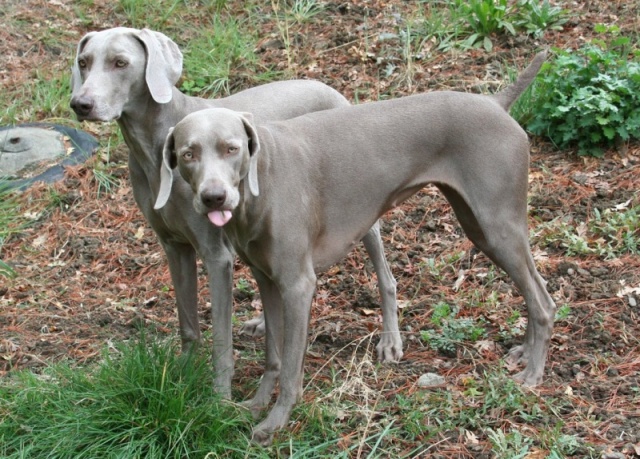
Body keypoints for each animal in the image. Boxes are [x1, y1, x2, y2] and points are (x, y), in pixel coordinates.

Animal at [154, 51, 556, 446]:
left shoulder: (298, 285)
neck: (262, 181)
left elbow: (291, 367)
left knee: (543, 301)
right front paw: (255, 404)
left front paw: (275, 422)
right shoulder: (265, 277)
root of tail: (496, 102)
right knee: (539, 289)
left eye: (231, 148)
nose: (213, 197)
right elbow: (273, 355)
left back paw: (533, 373)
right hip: (480, 226)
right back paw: (524, 351)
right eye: (188, 154)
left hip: (496, 224)